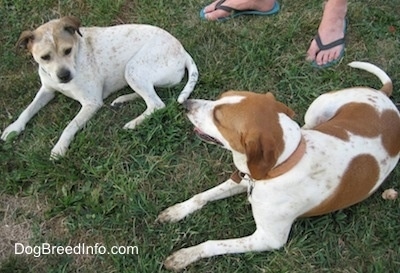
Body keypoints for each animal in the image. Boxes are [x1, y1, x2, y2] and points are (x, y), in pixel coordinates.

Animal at [1, 16, 198, 157]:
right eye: (45, 57)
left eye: (67, 50)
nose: (64, 76)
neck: (77, 55)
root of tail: (183, 51)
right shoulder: (47, 90)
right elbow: (28, 110)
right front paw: (14, 128)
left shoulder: (91, 103)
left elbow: (69, 126)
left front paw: (59, 148)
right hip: (136, 75)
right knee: (152, 94)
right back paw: (122, 99)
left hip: (133, 68)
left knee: (157, 104)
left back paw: (132, 123)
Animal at [157, 61, 400, 270]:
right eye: (220, 98)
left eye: (218, 117)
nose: (185, 104)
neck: (282, 165)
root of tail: (383, 95)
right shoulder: (242, 178)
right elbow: (202, 196)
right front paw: (176, 211)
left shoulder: (268, 239)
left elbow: (213, 243)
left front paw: (184, 256)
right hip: (317, 109)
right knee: (306, 125)